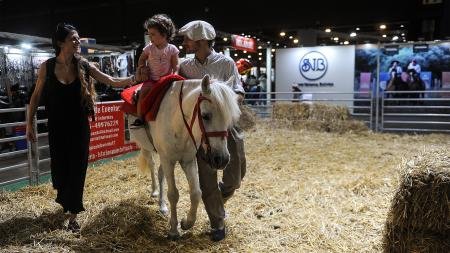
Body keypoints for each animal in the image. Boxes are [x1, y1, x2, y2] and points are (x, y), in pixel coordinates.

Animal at [128, 75, 241, 239]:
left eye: (228, 119)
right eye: (205, 116)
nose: (222, 159)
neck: (178, 122)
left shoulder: (187, 160)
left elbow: (196, 193)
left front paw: (187, 222)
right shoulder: (168, 160)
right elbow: (173, 194)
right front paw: (174, 230)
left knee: (161, 173)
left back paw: (162, 206)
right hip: (146, 148)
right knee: (152, 165)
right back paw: (154, 191)